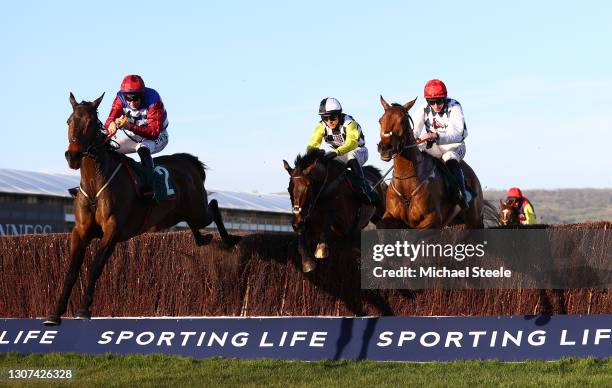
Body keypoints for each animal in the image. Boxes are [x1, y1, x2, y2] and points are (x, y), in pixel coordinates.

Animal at [44, 93, 240, 324]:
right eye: (69, 121)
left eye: (91, 123)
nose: (72, 156)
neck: (95, 184)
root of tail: (189, 162)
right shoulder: (80, 231)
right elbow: (71, 271)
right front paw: (55, 313)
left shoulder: (112, 230)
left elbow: (96, 266)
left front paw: (84, 309)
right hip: (175, 215)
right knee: (195, 222)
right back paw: (202, 239)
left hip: (197, 210)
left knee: (213, 206)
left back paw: (228, 240)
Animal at [376, 97, 486, 229]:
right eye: (380, 120)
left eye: (403, 121)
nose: (385, 148)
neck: (406, 181)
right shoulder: (391, 216)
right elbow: (381, 225)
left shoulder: (433, 219)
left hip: (474, 221)